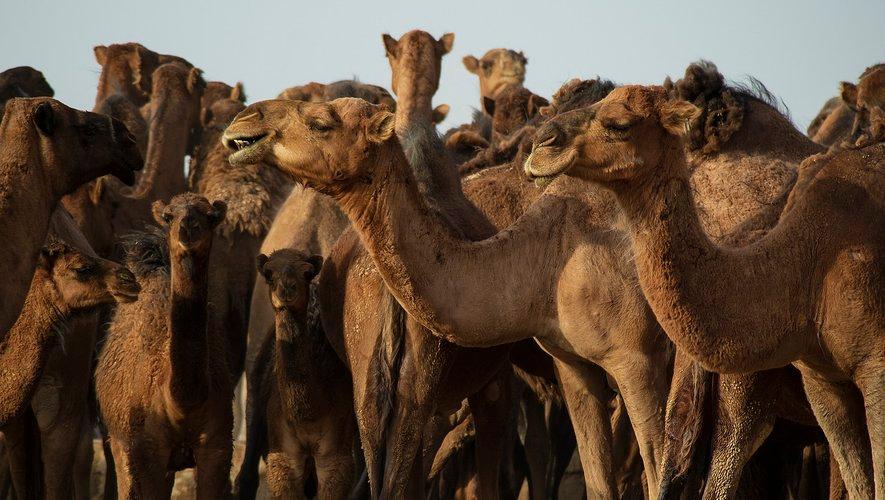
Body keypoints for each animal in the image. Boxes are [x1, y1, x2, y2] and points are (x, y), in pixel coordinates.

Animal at [95, 193, 233, 497]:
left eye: (210, 216)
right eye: (169, 216)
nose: (188, 227)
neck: (182, 403)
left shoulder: (217, 447)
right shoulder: (147, 451)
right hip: (119, 442)